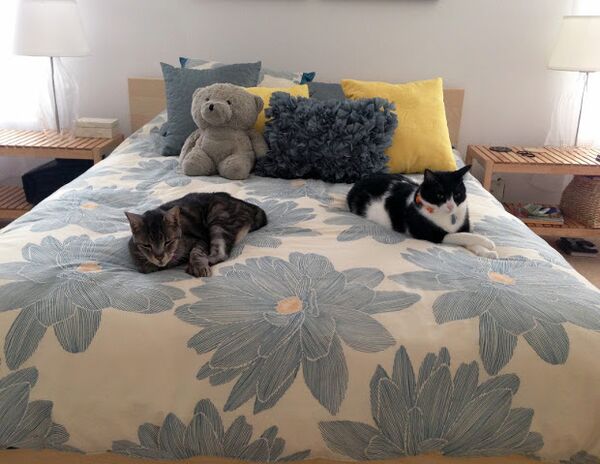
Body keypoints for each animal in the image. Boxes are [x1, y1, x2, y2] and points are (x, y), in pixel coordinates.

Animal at [125, 192, 267, 277]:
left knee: (222, 254)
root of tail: (249, 206)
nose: (159, 257)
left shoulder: (200, 240)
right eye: (147, 245)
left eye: (168, 242)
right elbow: (144, 266)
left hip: (218, 220)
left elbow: (196, 252)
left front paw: (198, 265)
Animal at [347, 165, 498, 258]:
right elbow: (462, 236)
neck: (448, 218)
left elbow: (467, 236)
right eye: (440, 195)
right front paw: (489, 243)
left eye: (457, 194)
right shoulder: (432, 235)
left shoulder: (463, 224)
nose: (450, 206)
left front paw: (487, 252)